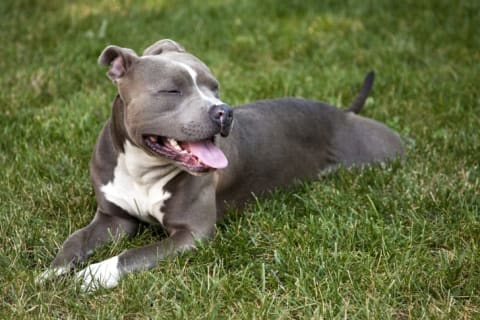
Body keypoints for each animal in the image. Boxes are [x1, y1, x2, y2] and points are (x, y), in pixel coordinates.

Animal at [37, 39, 404, 290]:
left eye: (214, 88)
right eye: (172, 90)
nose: (224, 111)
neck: (144, 167)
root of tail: (342, 113)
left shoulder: (192, 234)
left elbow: (132, 255)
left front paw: (92, 274)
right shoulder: (114, 219)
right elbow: (75, 240)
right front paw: (51, 271)